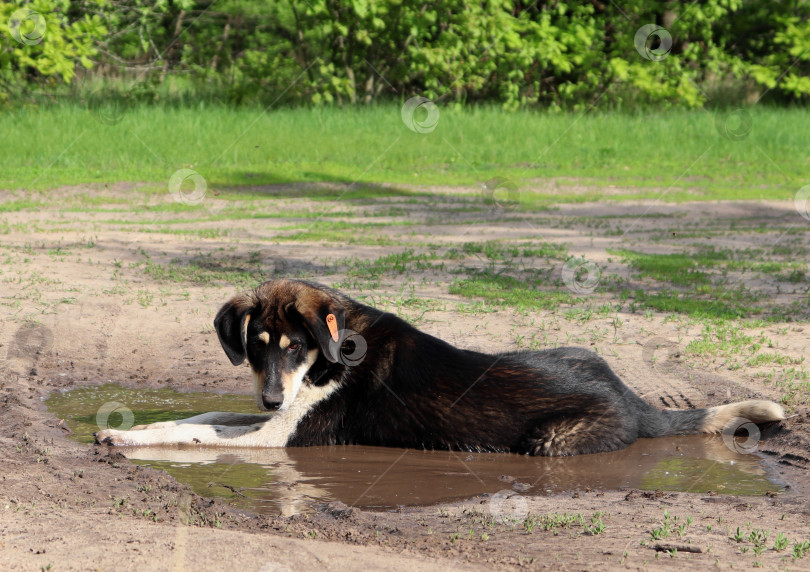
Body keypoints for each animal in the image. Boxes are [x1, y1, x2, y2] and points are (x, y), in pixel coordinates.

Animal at [94, 278, 784, 456]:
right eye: (258, 345)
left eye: (294, 346)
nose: (269, 398)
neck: (330, 357)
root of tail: (637, 401)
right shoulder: (275, 418)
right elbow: (202, 415)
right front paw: (128, 428)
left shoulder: (280, 436)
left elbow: (200, 432)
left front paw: (130, 437)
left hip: (551, 442)